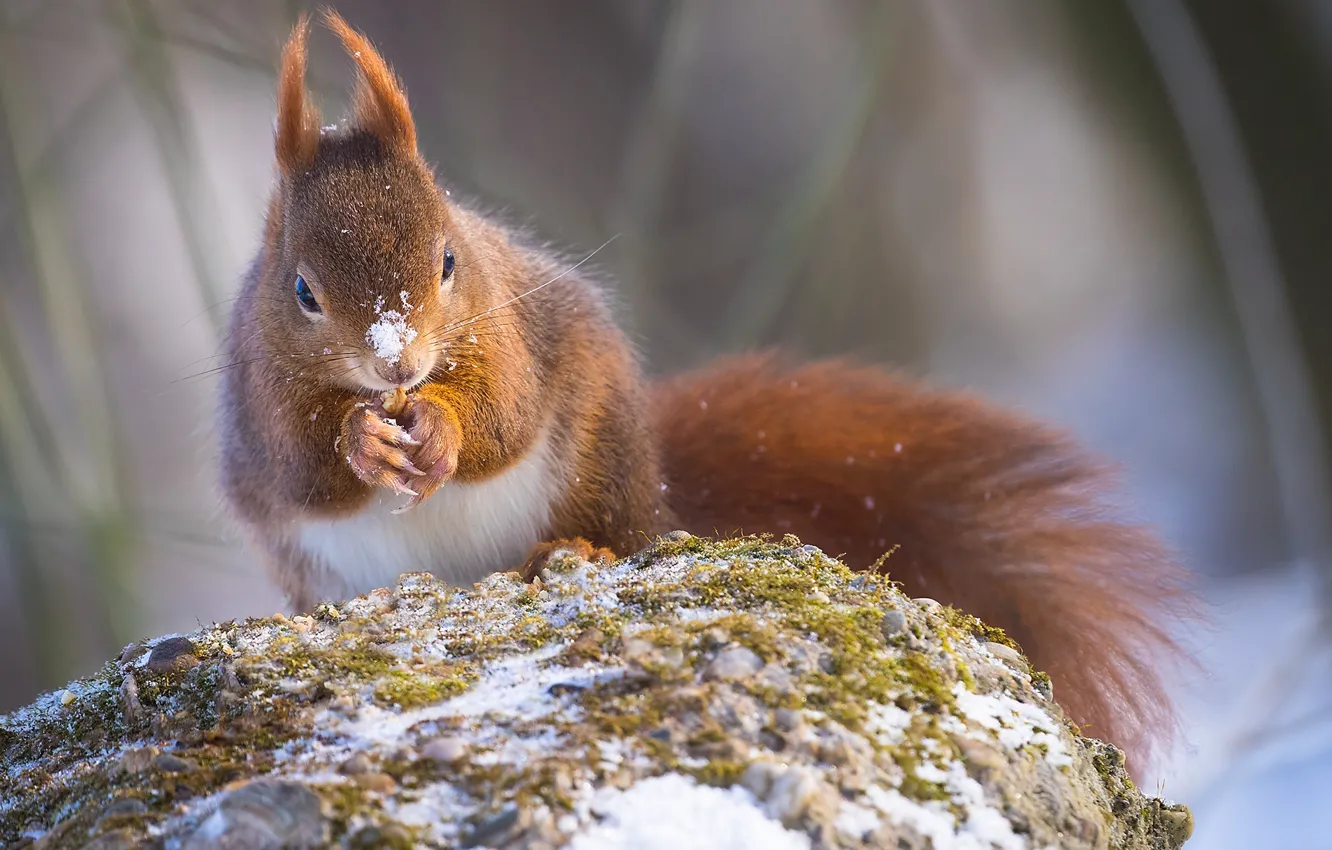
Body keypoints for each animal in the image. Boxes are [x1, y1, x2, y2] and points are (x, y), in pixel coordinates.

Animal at [221, 11, 1198, 772]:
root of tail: (658, 490)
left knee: (613, 524)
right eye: (303, 291)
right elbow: (304, 466)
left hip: (597, 453)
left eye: (450, 260)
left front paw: (442, 427)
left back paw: (576, 551)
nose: (397, 365)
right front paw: (362, 441)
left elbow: (504, 415)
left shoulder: (512, 333)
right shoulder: (256, 400)